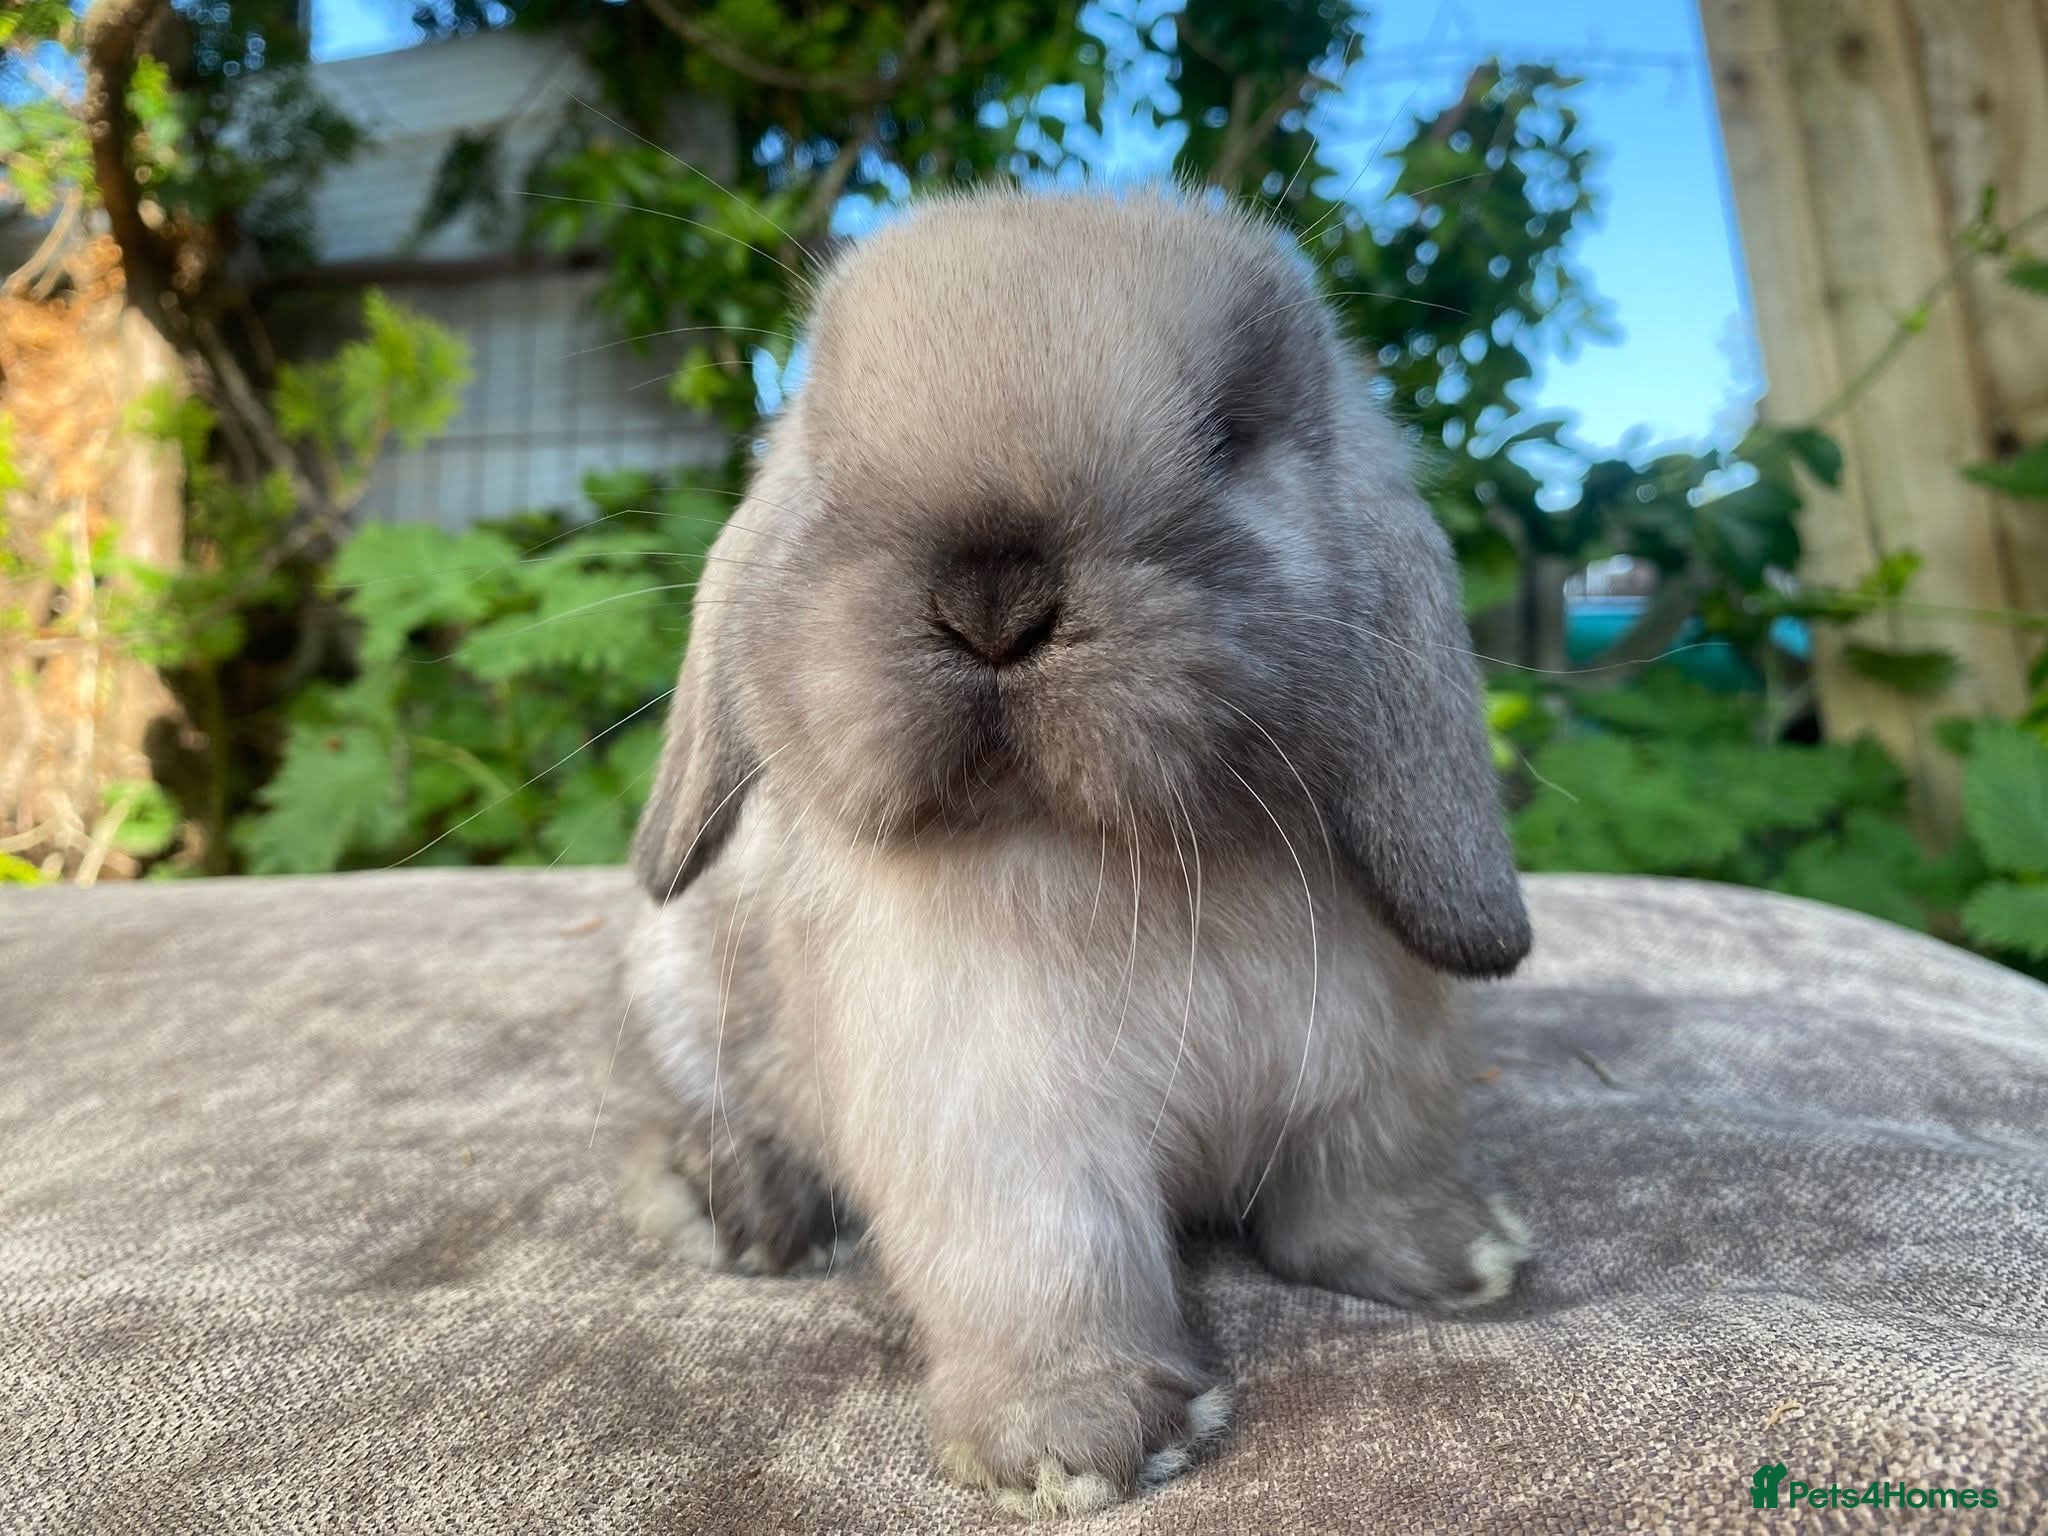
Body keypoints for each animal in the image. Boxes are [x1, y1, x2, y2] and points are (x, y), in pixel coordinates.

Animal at [619, 186, 1533, 1518]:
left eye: (1228, 436)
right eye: (826, 455)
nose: (991, 598)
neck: (1147, 864)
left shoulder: (1377, 1075)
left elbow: (1360, 1190)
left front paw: (1464, 1260)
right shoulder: (1003, 1135)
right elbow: (1049, 1267)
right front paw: (1075, 1449)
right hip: (677, 989)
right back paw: (741, 1214)